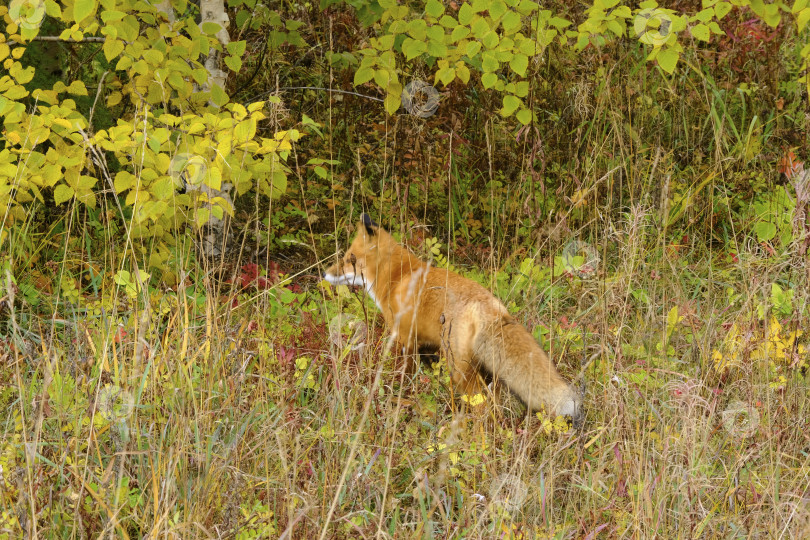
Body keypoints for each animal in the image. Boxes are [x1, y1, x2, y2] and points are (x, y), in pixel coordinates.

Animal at [322, 215, 580, 422]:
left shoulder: (405, 339)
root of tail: (488, 306)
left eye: (349, 259)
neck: (397, 276)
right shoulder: (425, 346)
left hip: (459, 371)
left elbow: (406, 375)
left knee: (482, 406)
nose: (324, 273)